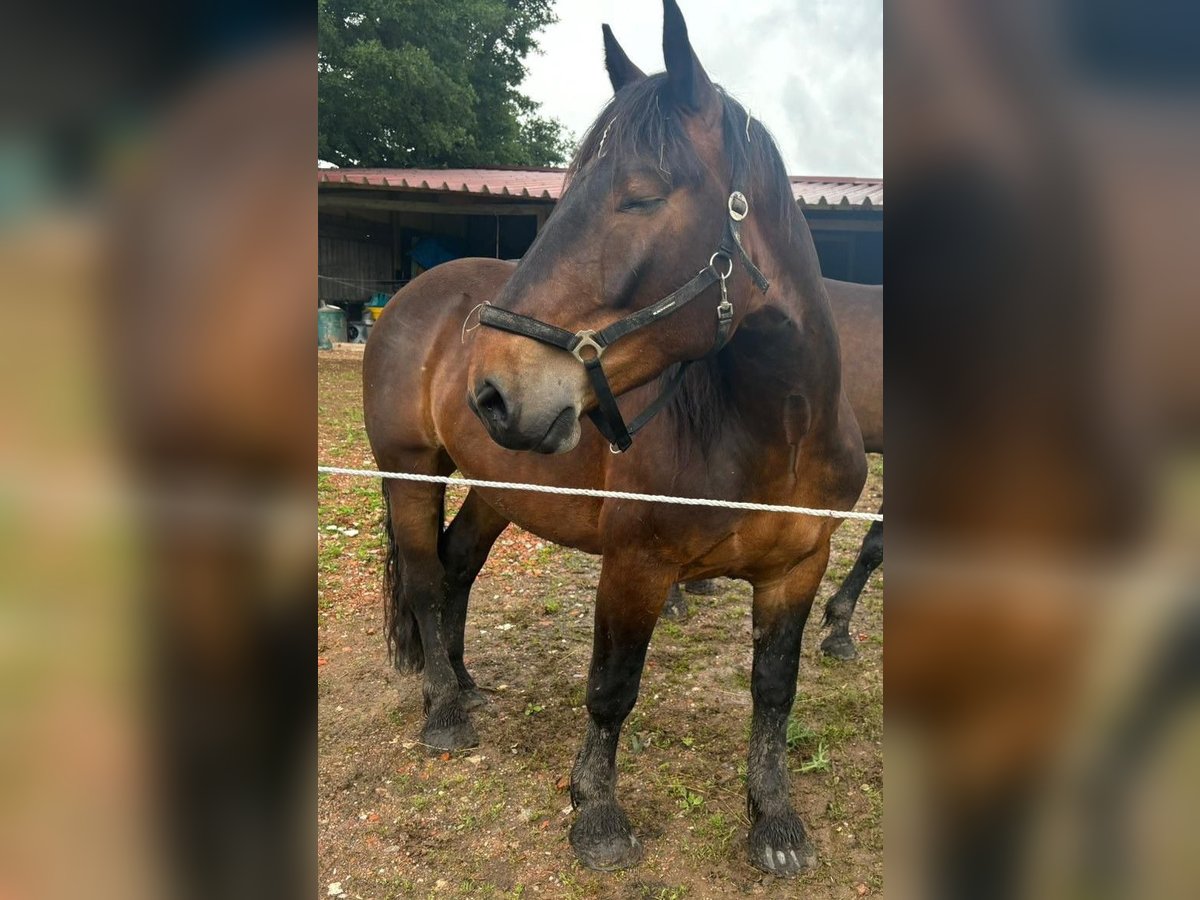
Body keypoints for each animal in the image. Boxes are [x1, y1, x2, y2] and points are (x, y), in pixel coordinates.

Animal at [360, 0, 868, 873]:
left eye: (640, 196)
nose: (492, 390)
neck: (778, 433)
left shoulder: (798, 568)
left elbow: (774, 690)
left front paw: (773, 820)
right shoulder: (637, 564)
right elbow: (612, 687)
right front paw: (596, 814)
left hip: (500, 487)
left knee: (457, 568)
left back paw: (460, 681)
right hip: (409, 473)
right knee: (425, 581)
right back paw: (444, 713)